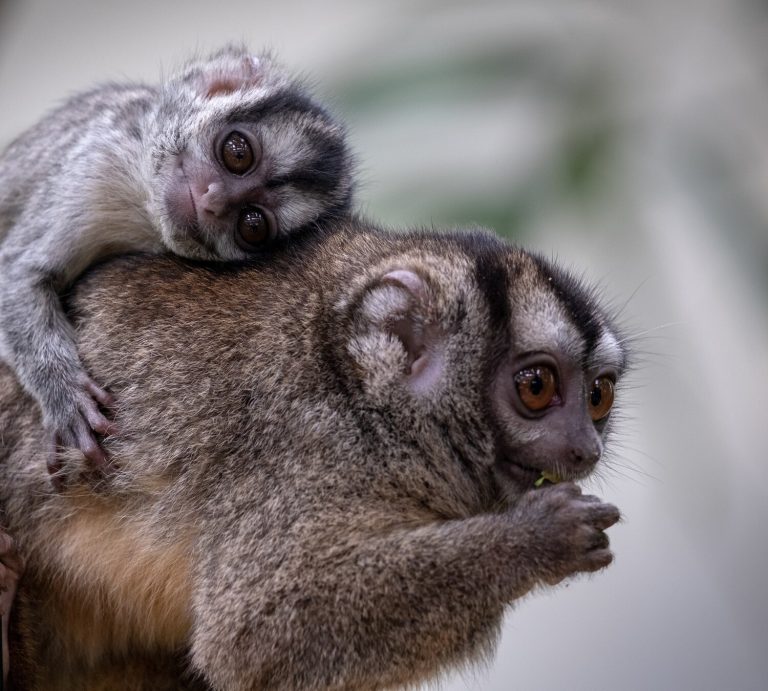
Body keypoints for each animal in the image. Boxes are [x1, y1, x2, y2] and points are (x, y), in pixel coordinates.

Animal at [0, 44, 354, 475]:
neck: (142, 204)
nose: (213, 200)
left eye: (252, 224)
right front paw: (65, 396)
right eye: (238, 153)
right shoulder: (96, 160)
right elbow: (19, 273)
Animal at [0, 217, 628, 689]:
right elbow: (252, 635)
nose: (586, 447)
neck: (362, 406)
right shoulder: (303, 449)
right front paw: (543, 537)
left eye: (598, 396)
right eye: (536, 387)